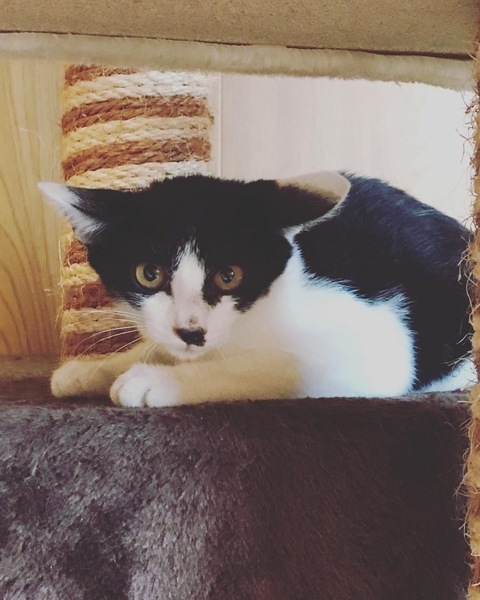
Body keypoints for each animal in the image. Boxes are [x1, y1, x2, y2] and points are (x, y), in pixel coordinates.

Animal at [39, 171, 474, 407]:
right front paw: (90, 370)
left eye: (229, 275)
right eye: (149, 274)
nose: (192, 331)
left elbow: (270, 365)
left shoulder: (376, 349)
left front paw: (154, 380)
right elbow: (158, 345)